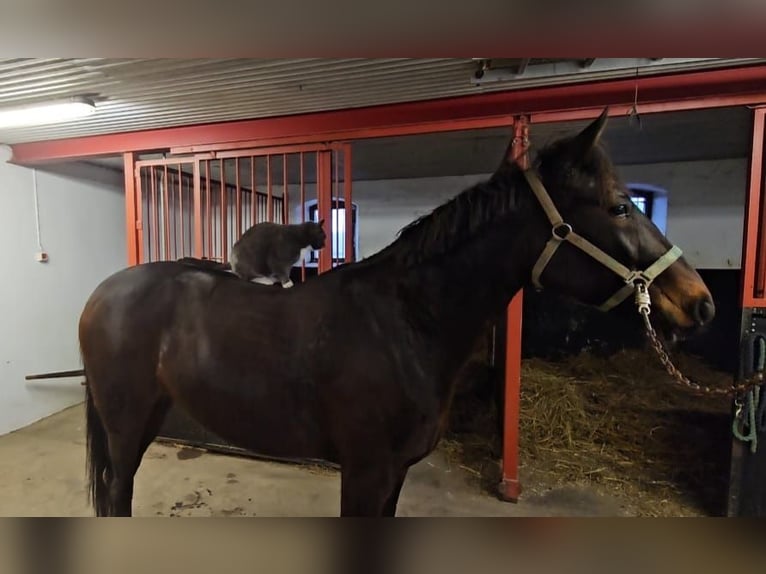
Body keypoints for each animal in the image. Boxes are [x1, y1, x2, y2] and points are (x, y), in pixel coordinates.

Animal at [79, 110, 720, 520]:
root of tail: (101, 294)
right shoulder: (366, 473)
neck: (405, 323)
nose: (700, 301)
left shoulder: (396, 475)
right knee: (117, 495)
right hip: (126, 425)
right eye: (618, 207)